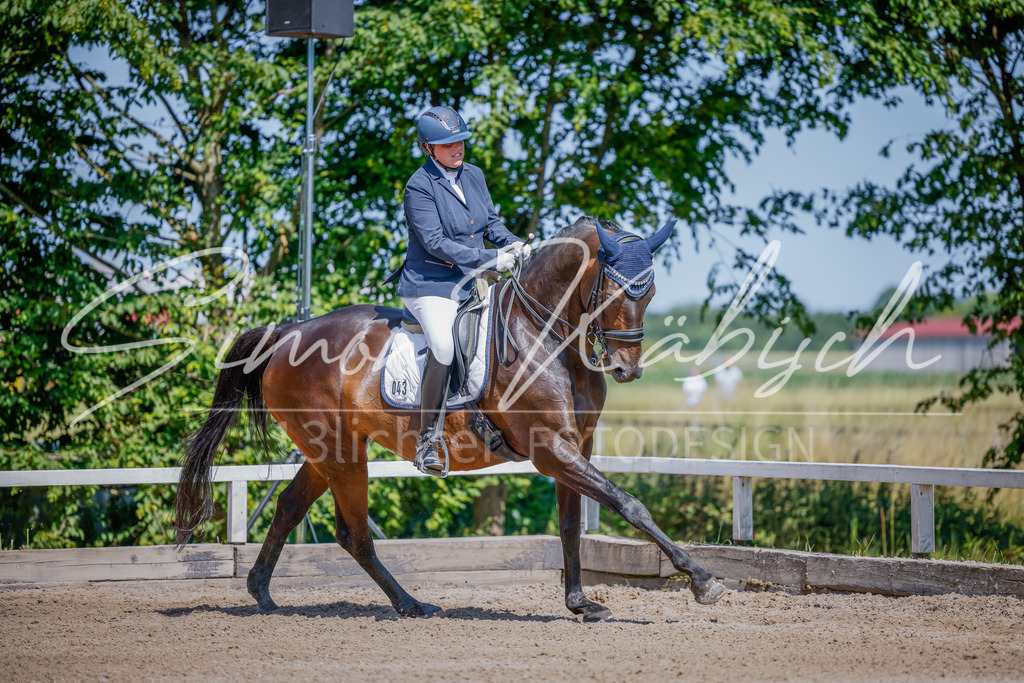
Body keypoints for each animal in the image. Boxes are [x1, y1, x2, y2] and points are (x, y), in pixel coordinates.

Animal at [174, 215, 726, 621]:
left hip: (324, 451)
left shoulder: (576, 446)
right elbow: (630, 504)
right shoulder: (551, 449)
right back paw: (411, 604)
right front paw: (702, 581)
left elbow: (571, 525)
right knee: (353, 533)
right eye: (612, 294)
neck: (547, 335)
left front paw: (580, 604)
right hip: (340, 452)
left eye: (648, 294)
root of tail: (289, 334)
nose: (627, 369)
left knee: (290, 507)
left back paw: (263, 594)